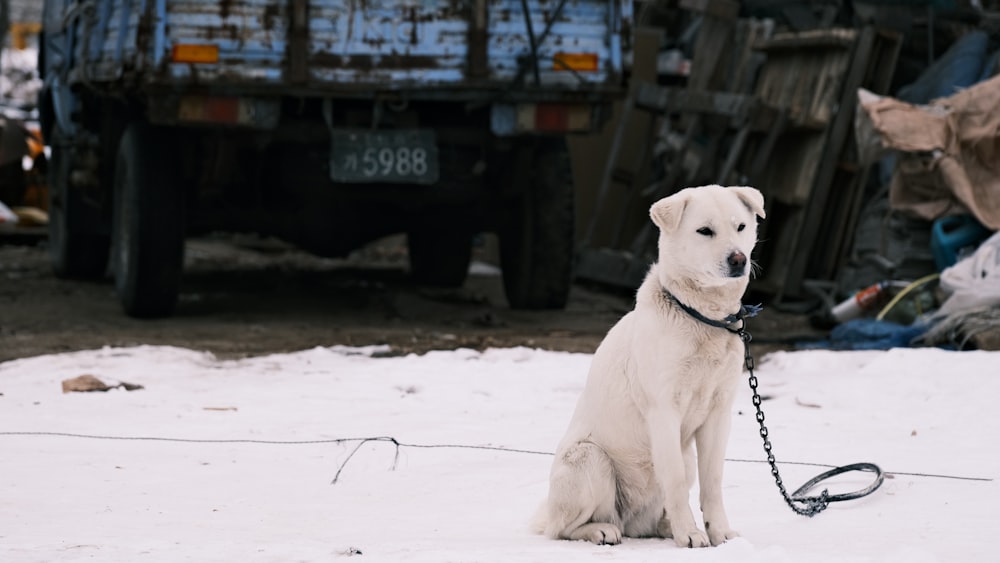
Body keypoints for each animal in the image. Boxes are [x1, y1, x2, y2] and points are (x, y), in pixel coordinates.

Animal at [540, 187, 764, 548]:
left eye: (741, 227)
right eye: (705, 231)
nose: (738, 259)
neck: (701, 318)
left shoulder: (719, 414)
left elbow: (713, 482)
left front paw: (720, 535)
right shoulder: (664, 411)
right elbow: (674, 481)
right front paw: (690, 535)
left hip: (685, 458)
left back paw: (664, 527)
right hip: (590, 459)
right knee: (563, 528)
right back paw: (602, 530)